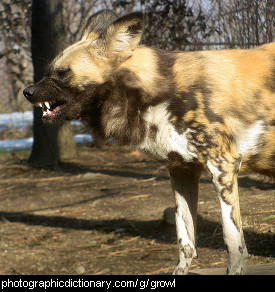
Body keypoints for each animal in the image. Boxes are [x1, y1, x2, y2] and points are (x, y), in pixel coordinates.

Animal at [23, 9, 275, 274]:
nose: (27, 92)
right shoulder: (182, 171)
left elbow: (233, 244)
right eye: (48, 71)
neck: (158, 93)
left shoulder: (222, 167)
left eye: (63, 74)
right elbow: (185, 242)